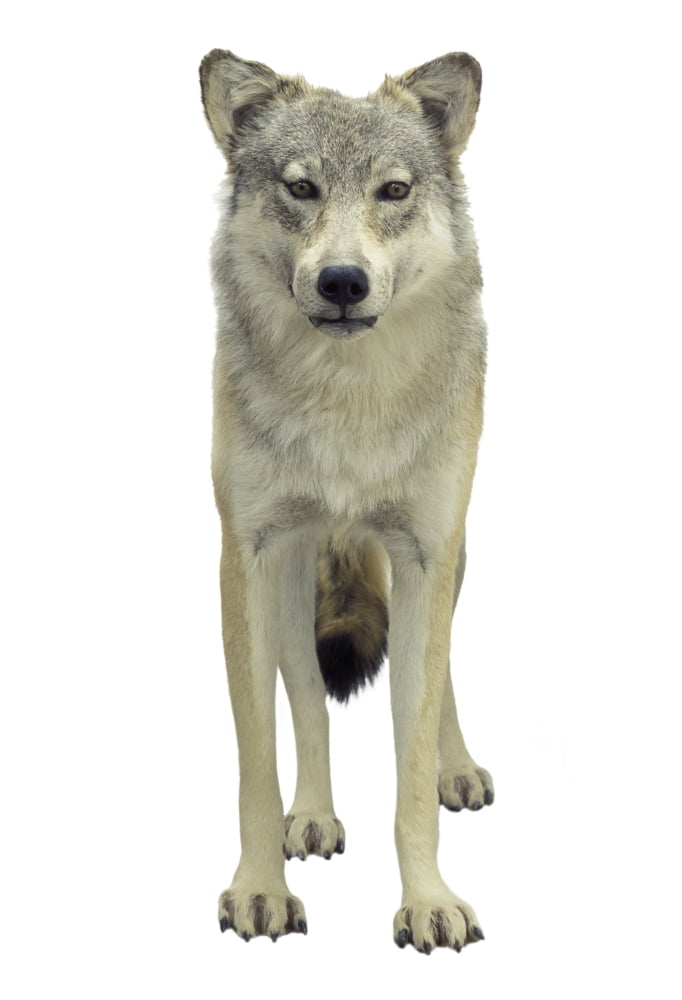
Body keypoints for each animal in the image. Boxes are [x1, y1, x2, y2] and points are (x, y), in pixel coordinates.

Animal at [199, 48, 494, 953]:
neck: (346, 405)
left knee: (442, 672)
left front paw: (429, 900)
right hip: (295, 574)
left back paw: (459, 769)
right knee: (307, 699)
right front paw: (260, 888)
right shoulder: (248, 558)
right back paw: (315, 818)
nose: (341, 281)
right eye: (301, 188)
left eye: (392, 191)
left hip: (447, 562)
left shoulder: (425, 553)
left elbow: (412, 758)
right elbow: (259, 760)